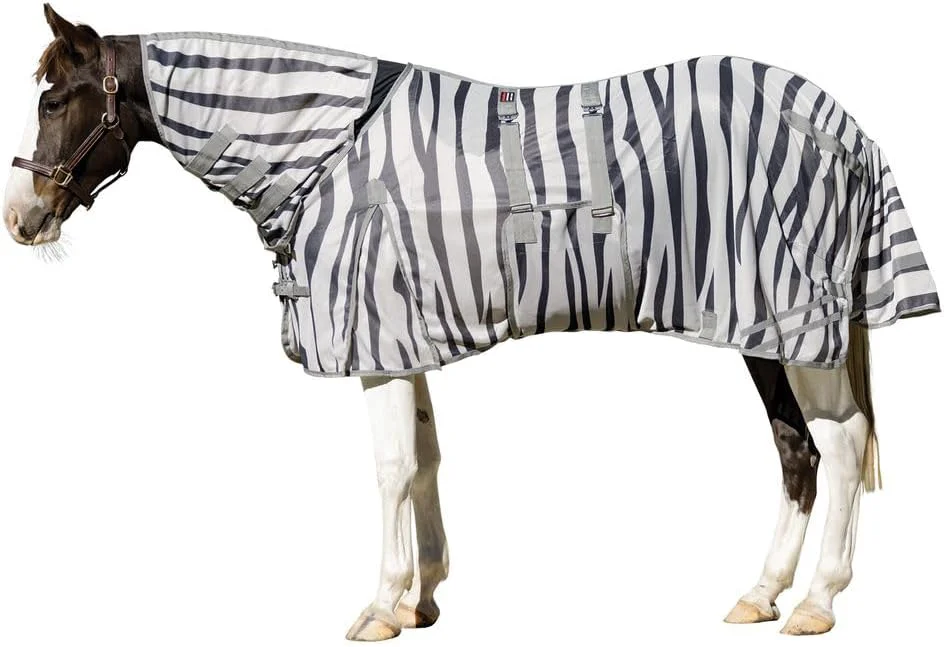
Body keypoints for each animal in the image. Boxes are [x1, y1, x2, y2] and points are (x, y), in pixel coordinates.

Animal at [3, 4, 939, 641]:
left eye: (54, 100)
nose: (20, 218)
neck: (327, 150)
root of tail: (836, 121)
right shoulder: (405, 333)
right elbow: (423, 459)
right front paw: (422, 598)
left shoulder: (375, 336)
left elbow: (388, 468)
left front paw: (378, 605)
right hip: (763, 329)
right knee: (797, 450)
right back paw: (759, 593)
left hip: (795, 319)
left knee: (841, 443)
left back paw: (815, 601)